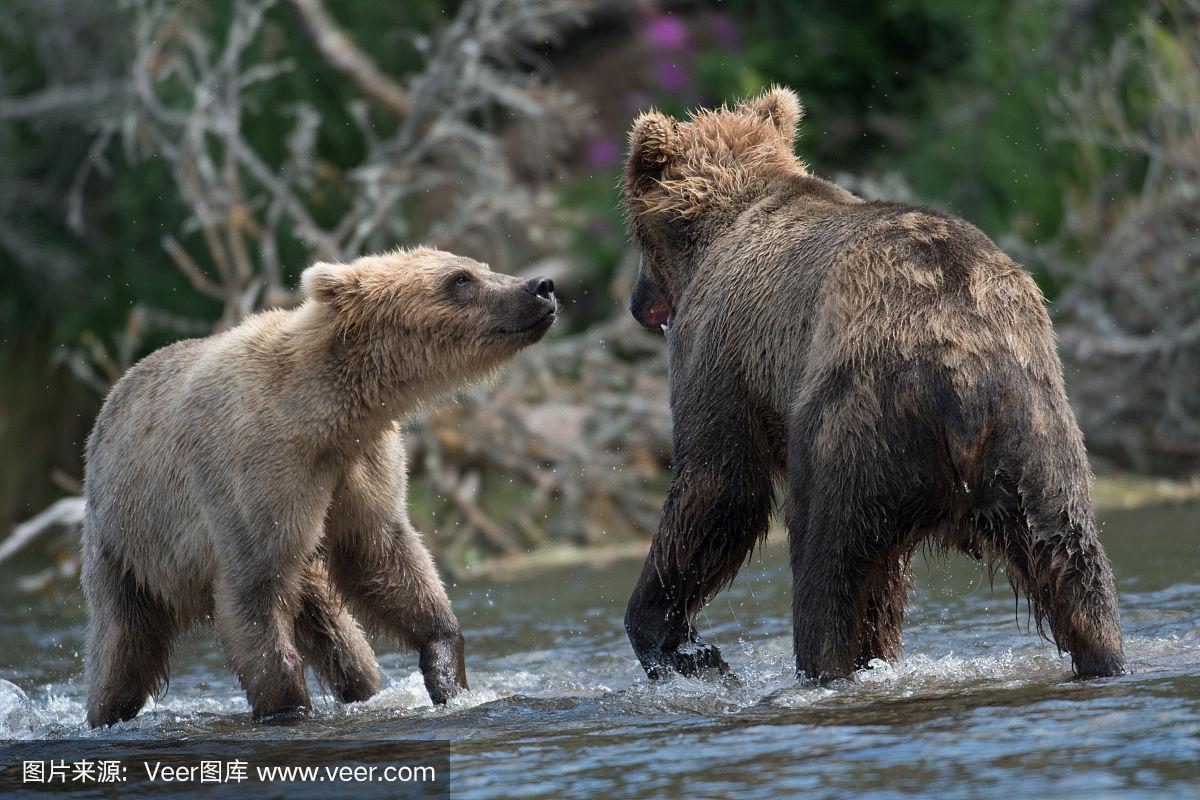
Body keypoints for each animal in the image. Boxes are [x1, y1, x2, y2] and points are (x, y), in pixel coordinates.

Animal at [82, 248, 559, 724]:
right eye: (460, 279)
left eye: (478, 266)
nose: (541, 286)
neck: (327, 417)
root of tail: (106, 405)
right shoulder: (259, 475)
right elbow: (256, 597)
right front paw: (288, 706)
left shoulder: (360, 468)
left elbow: (383, 560)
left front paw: (445, 669)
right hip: (127, 545)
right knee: (124, 649)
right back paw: (108, 709)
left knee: (337, 632)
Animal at [619, 90, 1123, 686]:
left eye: (634, 233)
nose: (634, 302)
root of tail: (959, 377)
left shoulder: (719, 347)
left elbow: (718, 481)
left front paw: (681, 645)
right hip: (1034, 429)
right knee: (1071, 561)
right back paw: (1104, 656)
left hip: (854, 417)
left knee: (826, 557)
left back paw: (824, 665)